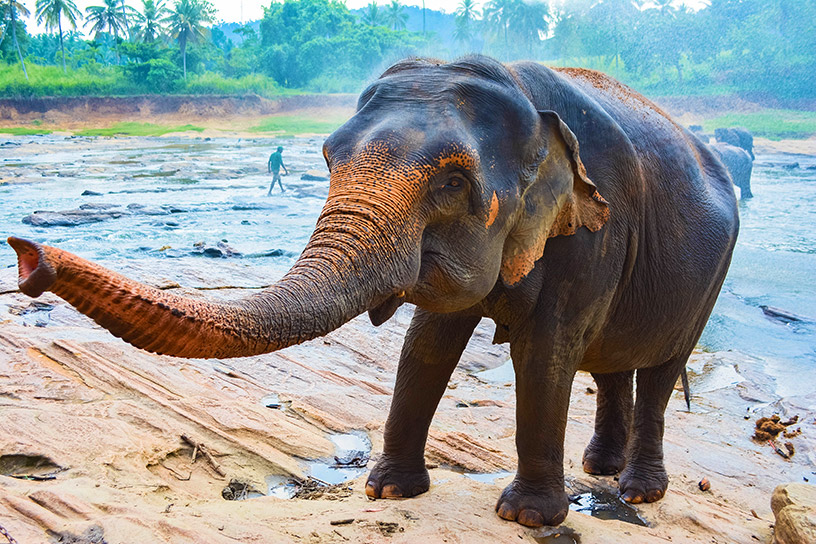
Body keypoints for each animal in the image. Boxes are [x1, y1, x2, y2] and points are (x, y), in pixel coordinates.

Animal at [8, 55, 739, 528]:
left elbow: (546, 353)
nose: (27, 258)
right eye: (329, 157)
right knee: (613, 363)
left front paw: (527, 517)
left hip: (711, 275)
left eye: (452, 181)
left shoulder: (593, 232)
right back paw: (600, 470)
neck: (523, 92)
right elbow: (428, 344)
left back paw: (638, 494)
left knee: (659, 369)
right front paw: (388, 494)